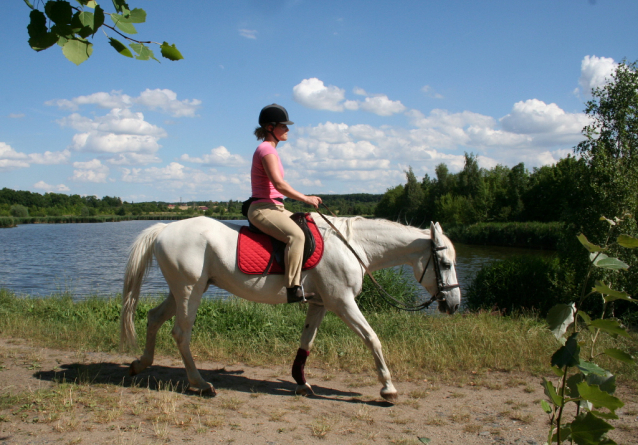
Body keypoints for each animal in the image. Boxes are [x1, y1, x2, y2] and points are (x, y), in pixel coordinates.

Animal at [120, 216, 460, 402]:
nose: (454, 304)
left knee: (154, 318)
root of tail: (164, 230)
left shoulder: (321, 303)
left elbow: (306, 341)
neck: (352, 246)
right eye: (445, 263)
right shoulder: (342, 302)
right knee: (181, 333)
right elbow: (372, 338)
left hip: (185, 290)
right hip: (189, 291)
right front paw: (388, 388)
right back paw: (200, 384)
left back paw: (140, 364)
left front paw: (300, 381)